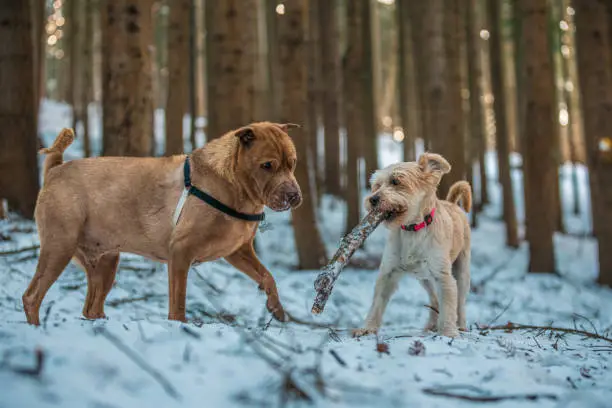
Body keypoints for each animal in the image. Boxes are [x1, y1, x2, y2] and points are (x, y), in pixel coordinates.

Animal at [23, 122, 302, 326]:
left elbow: (267, 275)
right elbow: (178, 302)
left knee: (91, 307)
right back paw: (37, 329)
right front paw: (179, 326)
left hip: (105, 261)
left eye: (293, 163)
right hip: (60, 245)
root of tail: (55, 169)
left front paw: (276, 308)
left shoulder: (237, 251)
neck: (234, 186)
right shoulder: (180, 252)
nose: (294, 196)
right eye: (267, 165)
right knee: (32, 296)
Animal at [352, 153, 470, 338]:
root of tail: (452, 204)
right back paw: (431, 325)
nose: (373, 199)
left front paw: (448, 333)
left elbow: (449, 306)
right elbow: (377, 303)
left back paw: (461, 326)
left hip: (462, 272)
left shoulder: (443, 276)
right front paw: (367, 328)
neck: (413, 229)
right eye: (377, 185)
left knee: (460, 301)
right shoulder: (388, 272)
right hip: (424, 279)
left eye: (395, 181)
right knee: (434, 300)